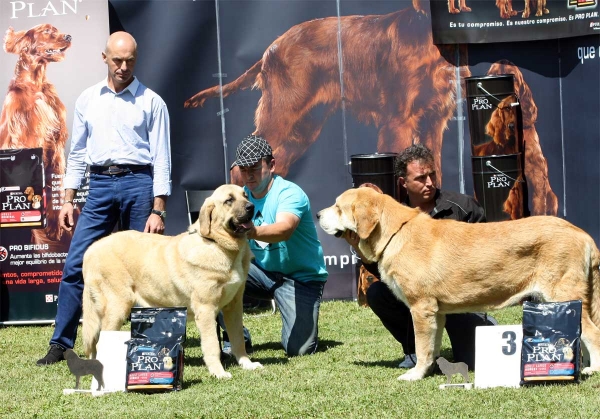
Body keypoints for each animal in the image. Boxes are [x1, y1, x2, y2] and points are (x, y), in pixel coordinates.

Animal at [0, 24, 72, 241]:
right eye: (47, 31)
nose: (69, 36)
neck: (35, 85)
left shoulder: (55, 144)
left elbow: (57, 187)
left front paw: (56, 228)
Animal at [81, 185, 262, 378]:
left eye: (245, 195)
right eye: (229, 200)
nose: (251, 207)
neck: (218, 244)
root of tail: (91, 249)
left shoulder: (234, 306)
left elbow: (238, 339)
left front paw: (247, 364)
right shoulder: (206, 309)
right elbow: (212, 345)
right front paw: (219, 372)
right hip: (117, 306)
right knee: (101, 341)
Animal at [316, 189, 600, 382]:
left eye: (338, 207)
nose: (317, 214)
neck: (395, 232)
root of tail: (583, 234)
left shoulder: (421, 308)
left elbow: (421, 347)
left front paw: (415, 375)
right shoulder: (436, 313)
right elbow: (431, 347)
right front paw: (429, 370)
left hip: (562, 295)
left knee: (592, 333)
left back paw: (593, 369)